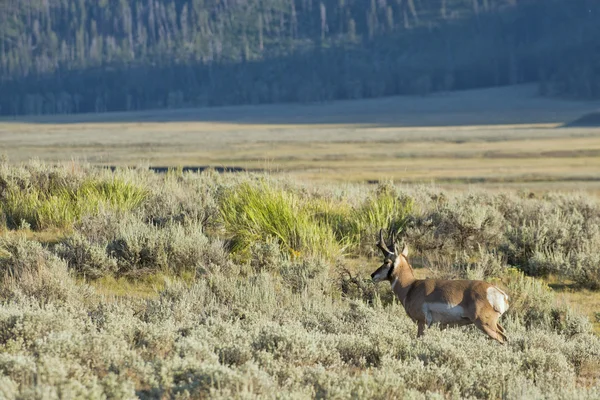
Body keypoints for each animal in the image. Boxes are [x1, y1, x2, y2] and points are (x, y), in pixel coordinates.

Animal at [372, 230, 508, 342]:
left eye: (386, 262)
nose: (372, 275)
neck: (411, 286)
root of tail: (499, 293)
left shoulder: (422, 323)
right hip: (493, 324)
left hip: (485, 324)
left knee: (502, 338)